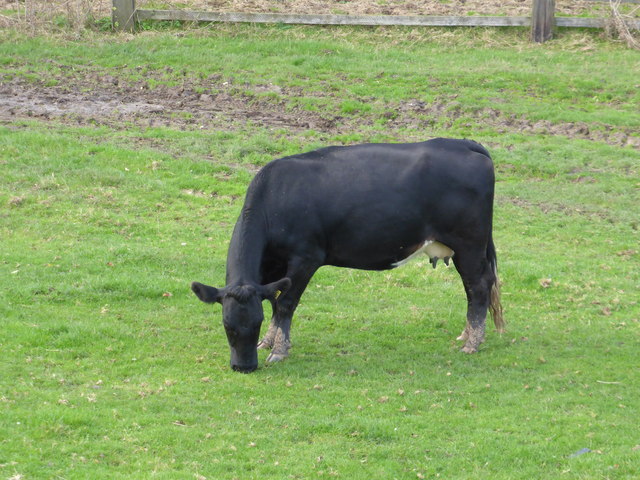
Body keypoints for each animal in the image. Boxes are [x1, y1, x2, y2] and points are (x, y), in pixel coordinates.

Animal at [191, 137, 504, 374]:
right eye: (227, 325)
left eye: (252, 325)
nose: (244, 367)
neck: (275, 199)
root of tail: (463, 144)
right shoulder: (272, 269)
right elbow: (273, 301)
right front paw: (268, 342)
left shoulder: (306, 258)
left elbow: (286, 305)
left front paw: (279, 350)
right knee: (472, 288)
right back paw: (467, 333)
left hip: (469, 243)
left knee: (478, 286)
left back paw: (472, 343)